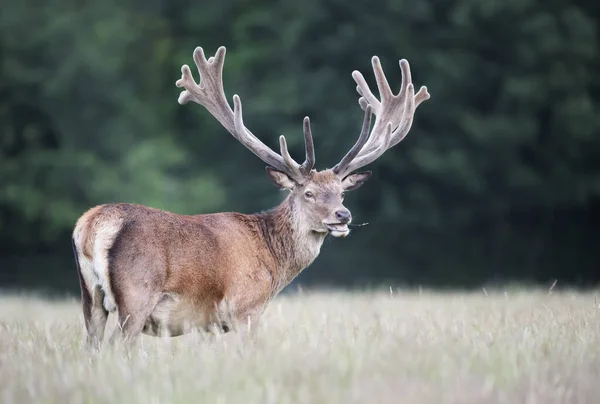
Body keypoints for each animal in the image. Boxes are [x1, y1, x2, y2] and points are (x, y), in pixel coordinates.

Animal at [72, 43, 428, 348]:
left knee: (92, 346)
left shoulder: (207, 324)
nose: (343, 216)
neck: (273, 260)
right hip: (137, 294)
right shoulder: (245, 306)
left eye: (342, 193)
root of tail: (91, 225)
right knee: (118, 346)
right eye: (309, 193)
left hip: (90, 298)